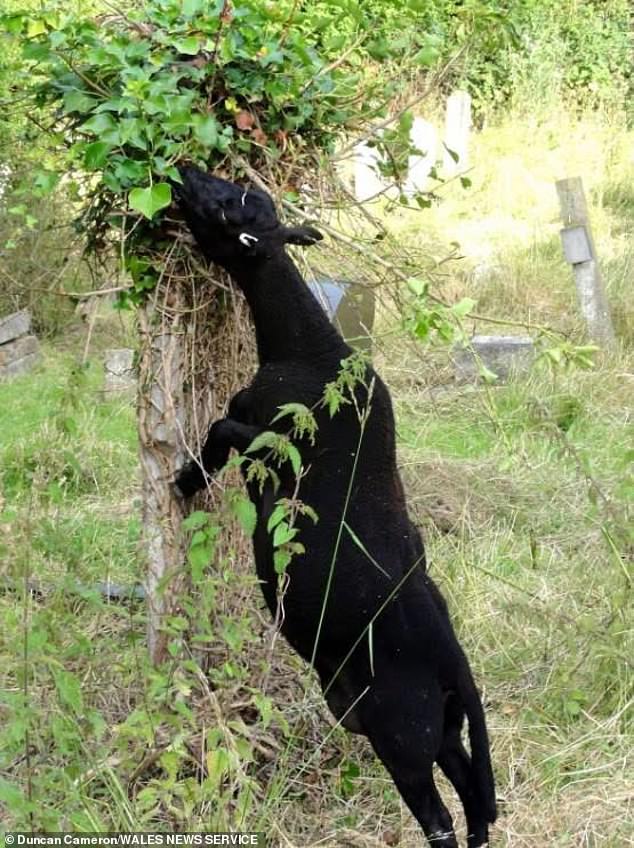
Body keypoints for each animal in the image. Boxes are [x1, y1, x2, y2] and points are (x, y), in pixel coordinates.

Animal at [173, 166, 497, 848]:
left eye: (225, 205)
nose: (185, 172)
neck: (308, 348)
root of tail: (455, 663)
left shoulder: (271, 451)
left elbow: (220, 429)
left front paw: (186, 480)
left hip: (402, 739)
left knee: (440, 821)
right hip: (438, 733)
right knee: (474, 804)